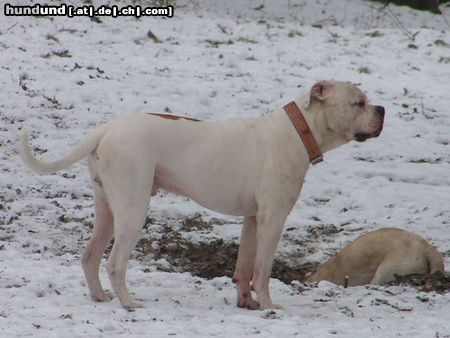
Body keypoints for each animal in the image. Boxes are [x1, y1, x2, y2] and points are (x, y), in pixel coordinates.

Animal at [18, 80, 384, 310]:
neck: (299, 130)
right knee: (115, 262)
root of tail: (106, 129)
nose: (381, 109)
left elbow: (244, 267)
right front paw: (269, 306)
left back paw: (101, 297)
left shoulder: (253, 219)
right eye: (359, 102)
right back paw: (129, 303)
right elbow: (263, 270)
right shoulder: (273, 219)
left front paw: (247, 303)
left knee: (90, 256)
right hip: (133, 209)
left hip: (108, 208)